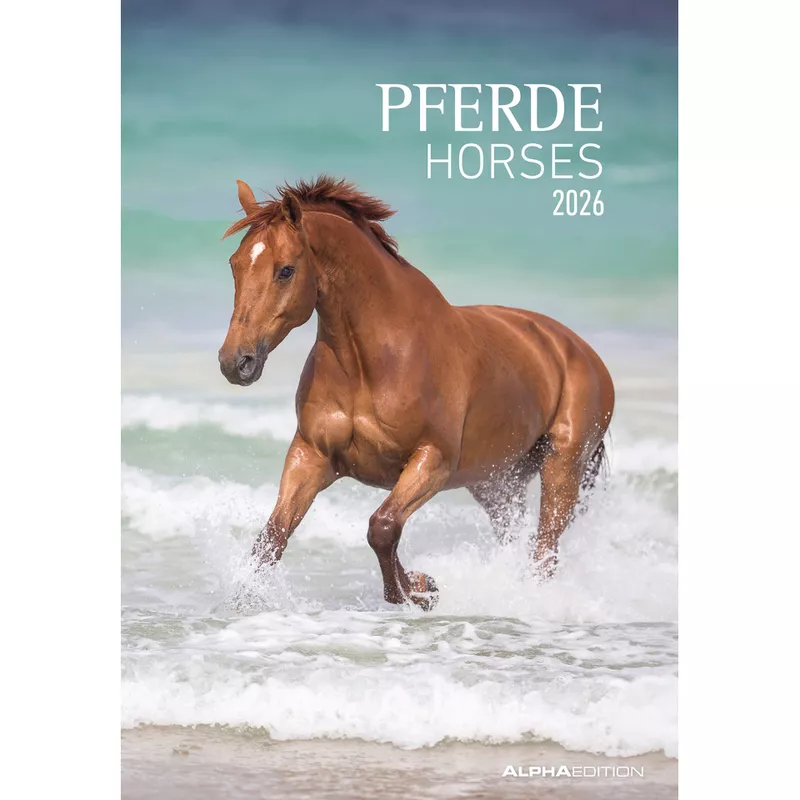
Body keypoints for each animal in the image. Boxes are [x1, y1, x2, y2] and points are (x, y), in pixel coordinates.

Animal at [218, 176, 615, 610]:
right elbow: (271, 538)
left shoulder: (433, 460)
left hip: (562, 467)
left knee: (544, 551)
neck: (372, 361)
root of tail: (581, 351)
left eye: (286, 270)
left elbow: (382, 526)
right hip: (496, 483)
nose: (236, 361)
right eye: (235, 265)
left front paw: (420, 589)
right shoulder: (311, 455)